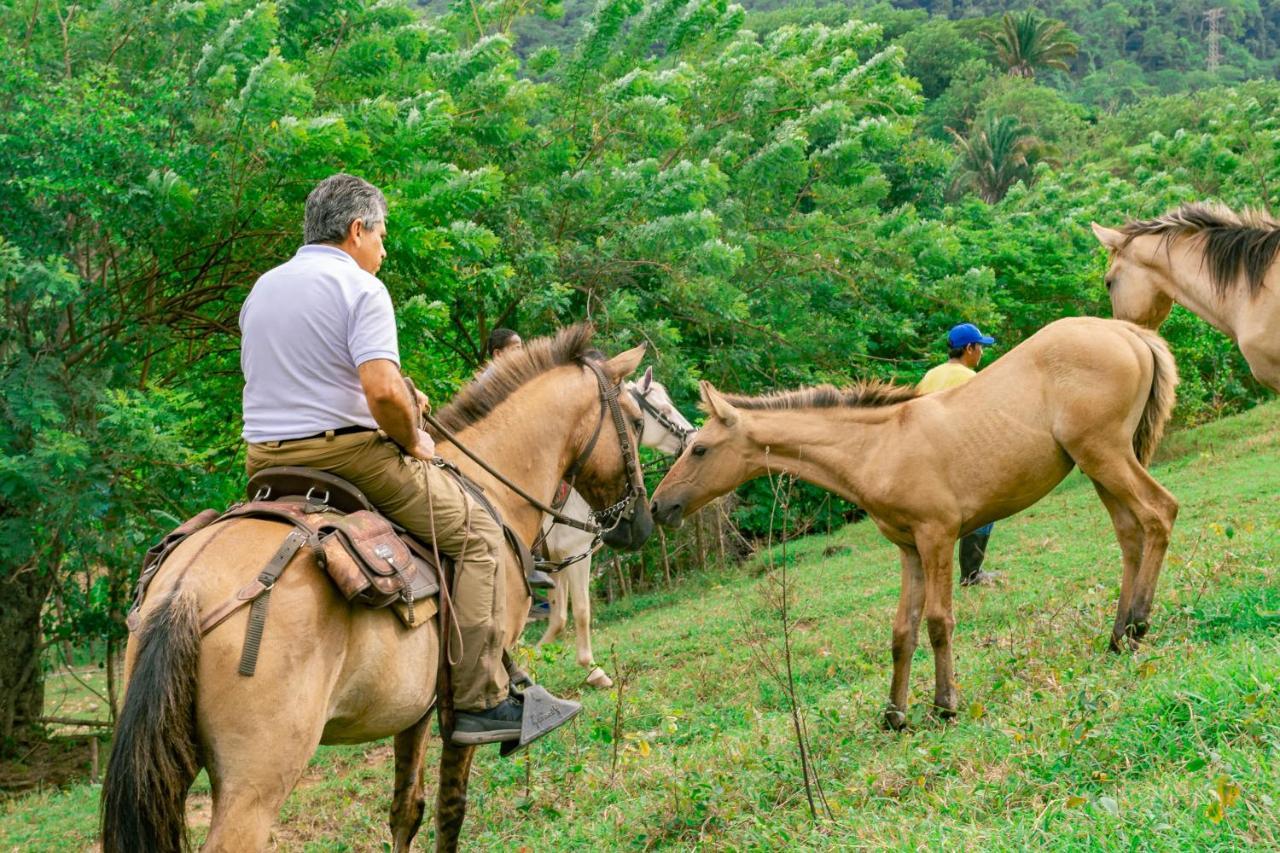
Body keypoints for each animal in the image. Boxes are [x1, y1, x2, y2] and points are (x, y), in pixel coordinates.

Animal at [102, 325, 650, 850]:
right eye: (637, 420)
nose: (639, 522)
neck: (490, 486)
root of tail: (188, 589)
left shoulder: (416, 707)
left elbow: (407, 811)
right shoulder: (461, 703)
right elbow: (451, 809)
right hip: (254, 784)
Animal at [535, 366, 696, 686]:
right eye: (664, 410)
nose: (694, 436)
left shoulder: (557, 561)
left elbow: (558, 620)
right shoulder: (573, 555)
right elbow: (581, 611)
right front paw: (593, 670)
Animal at [655, 315, 1182, 727]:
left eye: (700, 449)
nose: (660, 506)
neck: (879, 446)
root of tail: (1125, 331)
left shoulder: (937, 537)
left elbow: (937, 621)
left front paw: (945, 704)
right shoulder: (908, 548)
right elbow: (901, 632)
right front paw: (894, 714)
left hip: (1105, 454)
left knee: (1160, 513)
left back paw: (1138, 625)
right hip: (1097, 465)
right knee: (1130, 535)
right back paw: (1117, 636)